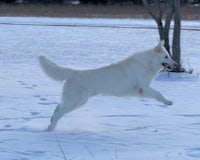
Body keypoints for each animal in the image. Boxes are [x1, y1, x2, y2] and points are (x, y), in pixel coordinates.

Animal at [39, 40, 177, 131]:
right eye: (166, 57)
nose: (176, 65)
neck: (148, 63)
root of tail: (73, 72)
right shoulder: (144, 89)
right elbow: (158, 93)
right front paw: (168, 102)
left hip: (79, 102)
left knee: (58, 106)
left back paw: (51, 121)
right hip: (75, 101)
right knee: (60, 111)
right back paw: (51, 127)